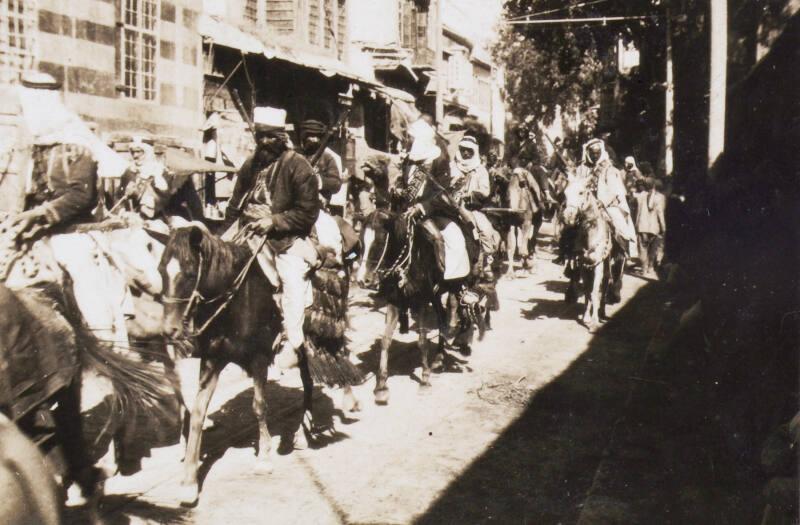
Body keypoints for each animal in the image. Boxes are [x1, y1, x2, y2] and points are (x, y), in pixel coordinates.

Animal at [159, 225, 362, 504]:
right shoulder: (212, 359)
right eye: (160, 270)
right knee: (309, 383)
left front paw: (264, 458)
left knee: (337, 357)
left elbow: (259, 406)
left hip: (322, 335)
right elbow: (198, 413)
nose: (169, 331)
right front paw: (189, 482)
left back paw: (346, 402)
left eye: (190, 274)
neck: (235, 300)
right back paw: (305, 430)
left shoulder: (258, 359)